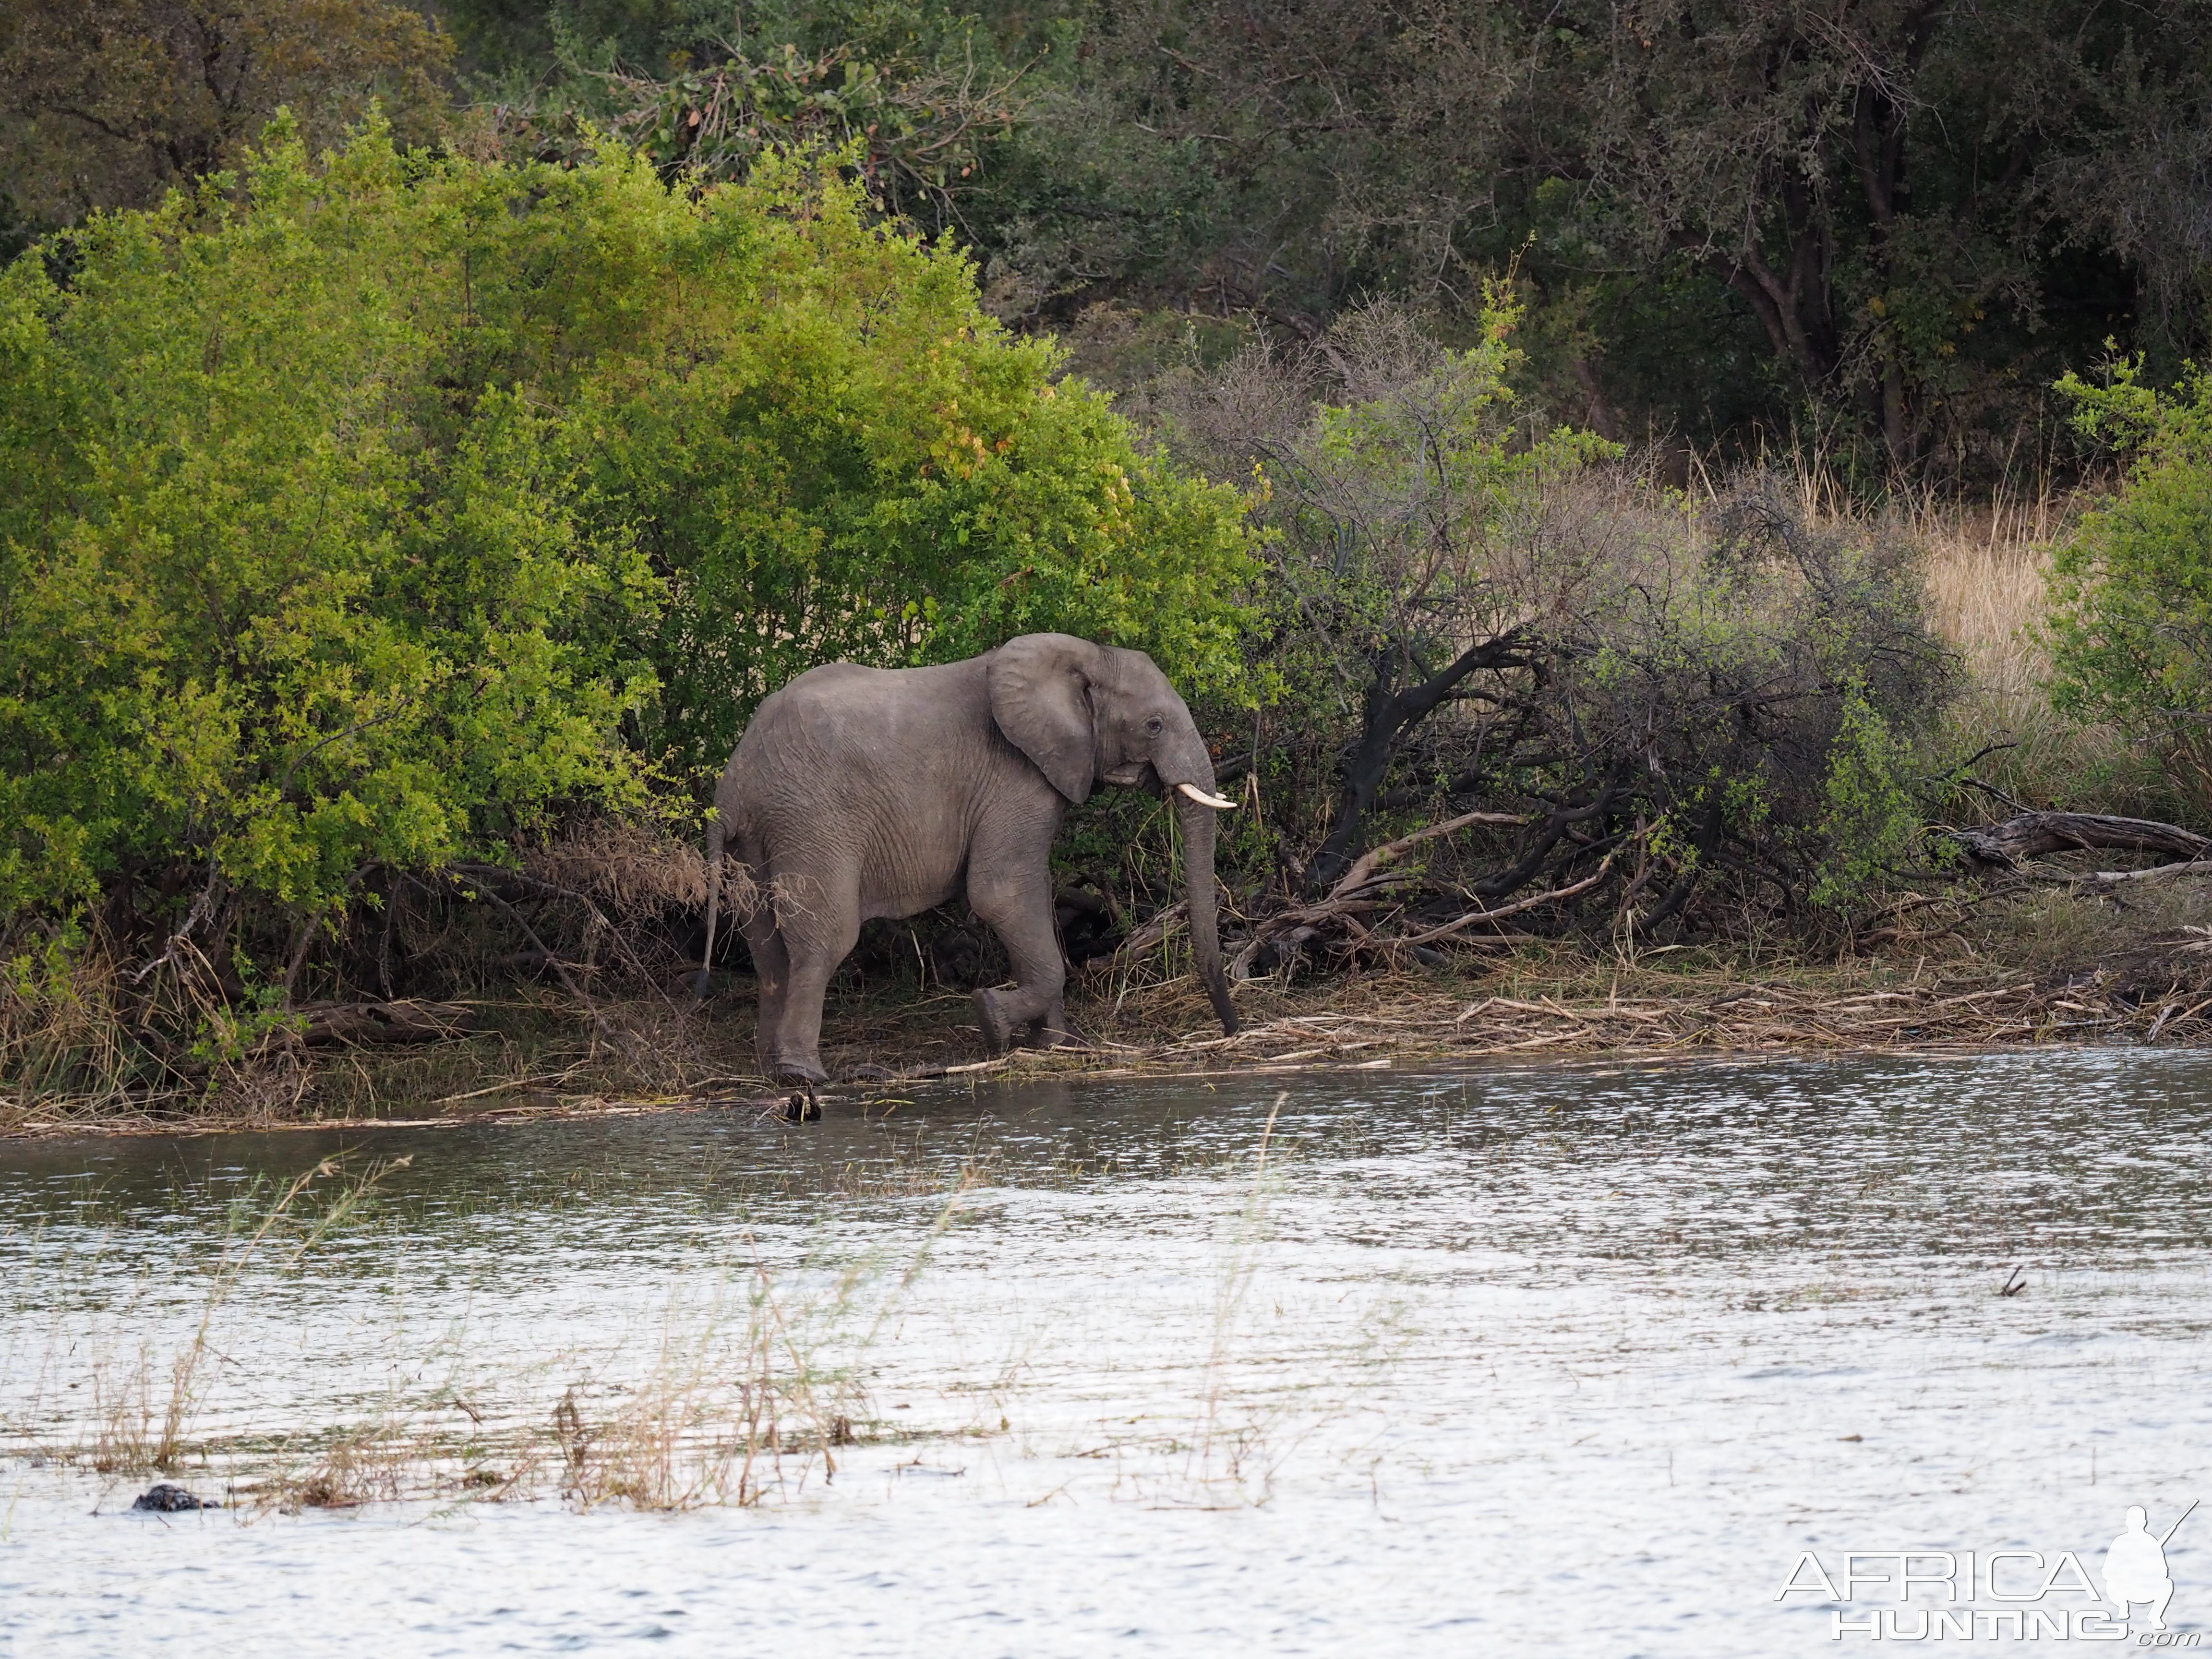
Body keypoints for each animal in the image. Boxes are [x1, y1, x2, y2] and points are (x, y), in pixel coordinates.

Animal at [699, 628, 1238, 1083]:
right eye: (1154, 725)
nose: (1232, 1030)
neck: (1082, 653)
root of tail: (732, 785)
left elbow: (1035, 897)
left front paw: (1058, 1045)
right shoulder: (1014, 779)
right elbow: (1001, 895)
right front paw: (993, 1020)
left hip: (756, 841)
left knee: (767, 947)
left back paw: (770, 1070)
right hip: (812, 822)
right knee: (823, 940)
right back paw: (804, 1076)